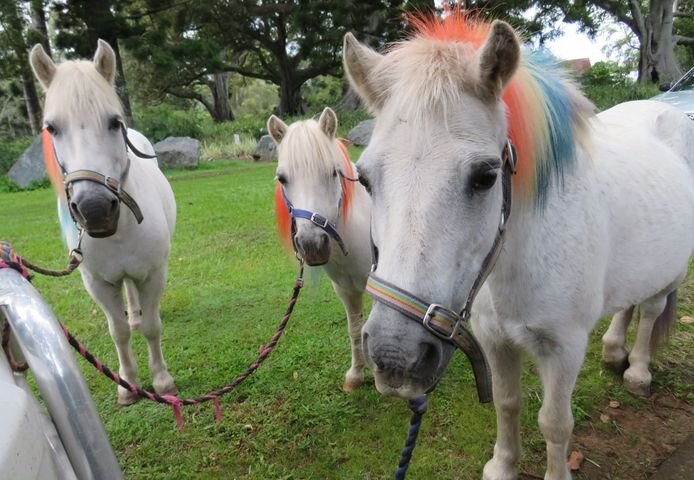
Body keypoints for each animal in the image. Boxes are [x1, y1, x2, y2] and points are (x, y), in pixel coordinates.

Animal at [29, 40, 178, 405]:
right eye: (52, 128)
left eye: (114, 122)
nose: (94, 209)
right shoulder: (96, 282)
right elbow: (118, 332)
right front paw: (128, 385)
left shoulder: (154, 273)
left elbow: (153, 327)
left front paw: (162, 381)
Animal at [268, 108, 372, 391]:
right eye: (282, 178)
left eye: (333, 173)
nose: (312, 245)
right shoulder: (345, 290)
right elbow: (355, 329)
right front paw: (356, 375)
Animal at [342, 12, 694, 480]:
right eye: (364, 178)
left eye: (485, 176)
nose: (394, 355)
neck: (516, 262)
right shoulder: (494, 340)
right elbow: (507, 404)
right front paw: (502, 466)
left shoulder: (564, 348)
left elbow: (555, 423)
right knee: (628, 305)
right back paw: (614, 349)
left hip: (671, 272)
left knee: (651, 311)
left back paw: (636, 370)